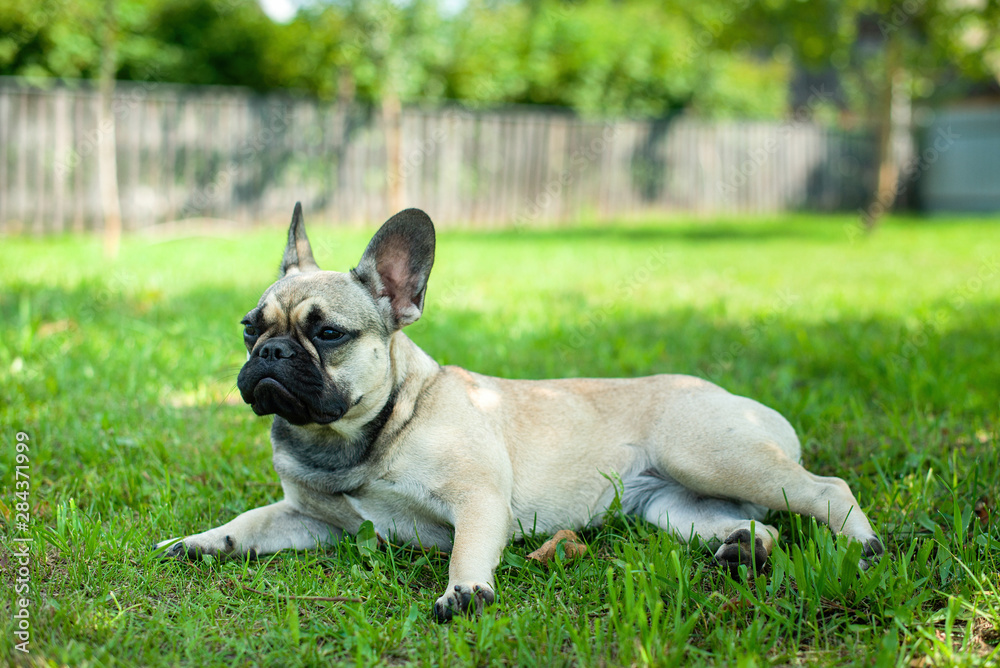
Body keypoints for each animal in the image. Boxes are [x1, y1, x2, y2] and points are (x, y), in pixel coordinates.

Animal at [156, 204, 884, 620]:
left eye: (328, 334)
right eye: (249, 329)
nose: (271, 352)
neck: (350, 440)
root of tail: (748, 405)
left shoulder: (478, 495)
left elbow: (467, 547)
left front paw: (465, 591)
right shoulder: (308, 518)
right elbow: (248, 523)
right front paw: (202, 541)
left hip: (709, 452)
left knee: (826, 488)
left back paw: (862, 545)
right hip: (672, 503)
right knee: (751, 524)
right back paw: (742, 549)